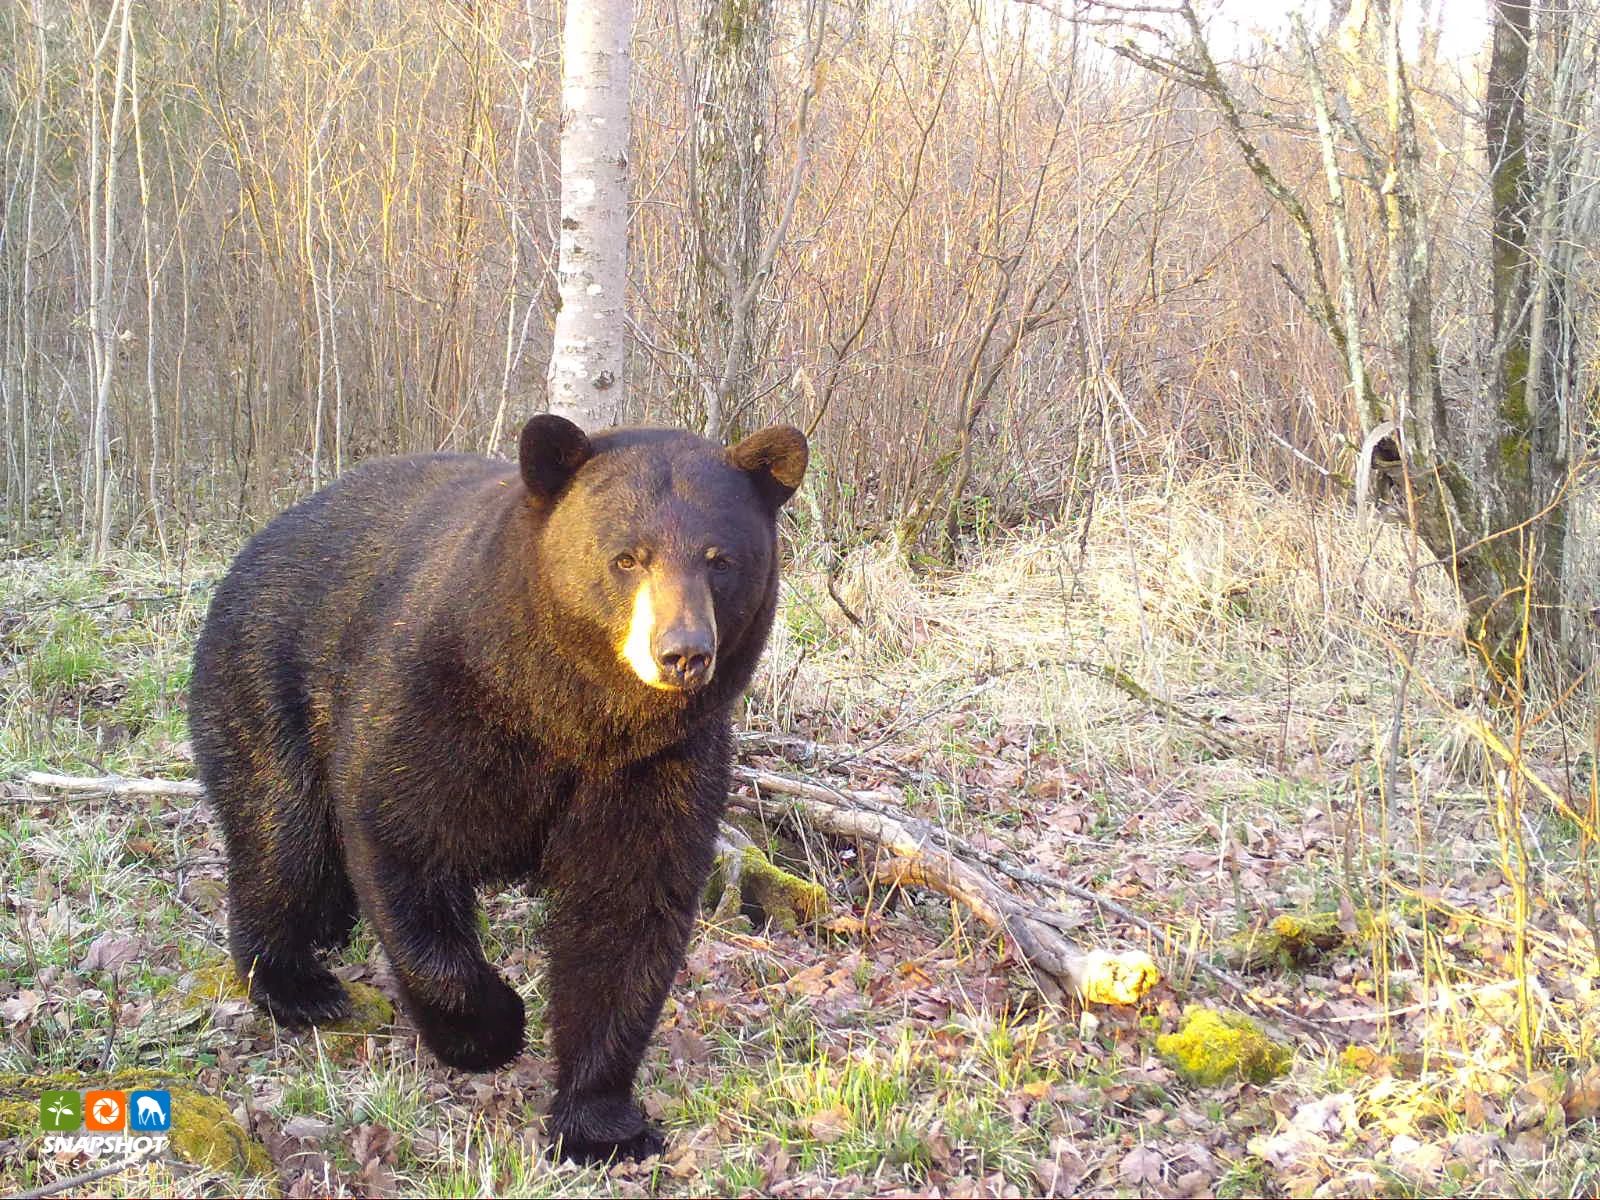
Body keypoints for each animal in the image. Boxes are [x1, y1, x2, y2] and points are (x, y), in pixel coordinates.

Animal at [188, 415, 807, 1163]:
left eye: (721, 560)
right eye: (627, 558)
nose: (682, 652)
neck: (575, 714)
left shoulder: (660, 765)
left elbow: (628, 908)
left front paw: (601, 1123)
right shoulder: (437, 692)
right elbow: (399, 832)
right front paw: (490, 1027)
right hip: (264, 673)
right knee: (279, 830)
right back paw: (295, 982)